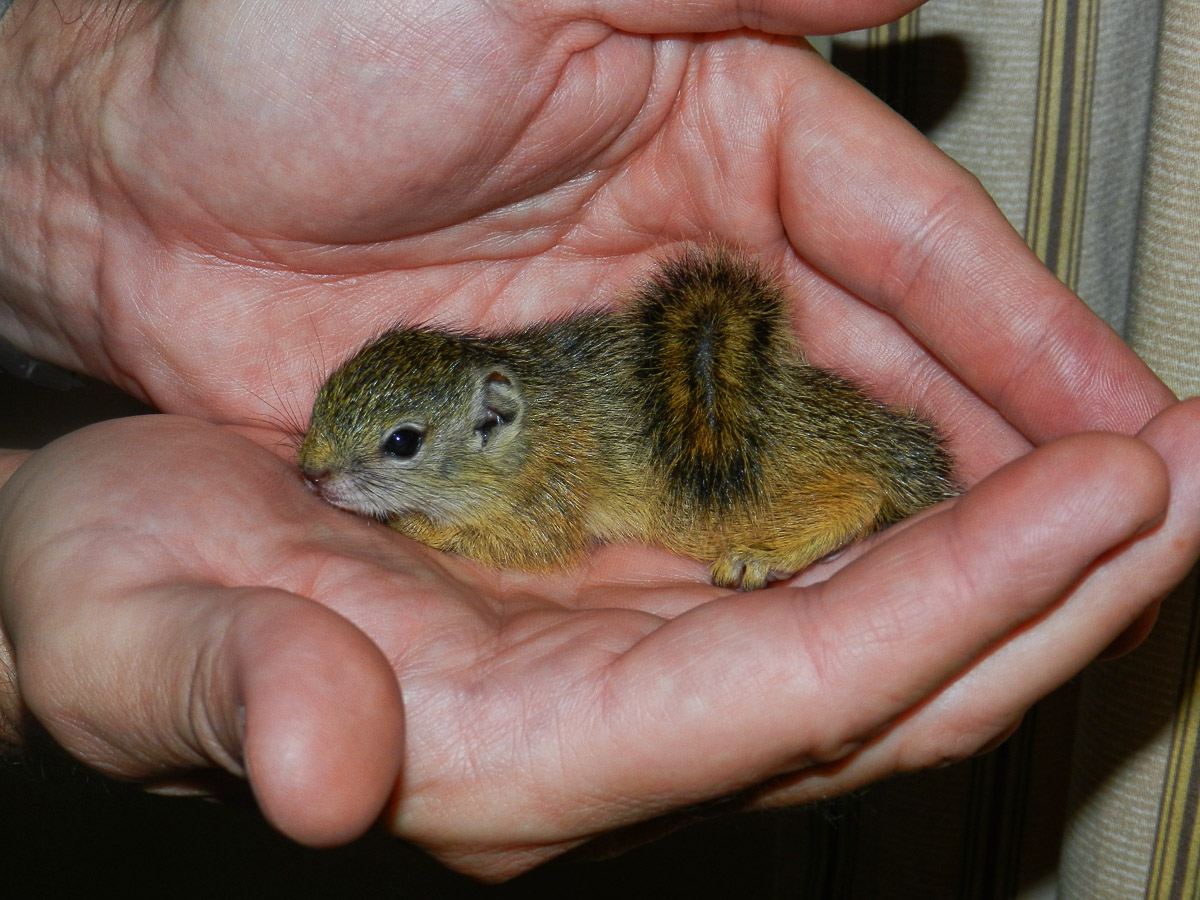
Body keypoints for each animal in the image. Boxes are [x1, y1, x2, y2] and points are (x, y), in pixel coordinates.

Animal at [297, 250, 956, 590]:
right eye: (323, 392)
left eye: (403, 441)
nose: (309, 474)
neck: (532, 430)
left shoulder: (552, 497)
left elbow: (523, 545)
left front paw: (411, 525)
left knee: (860, 496)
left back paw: (765, 556)